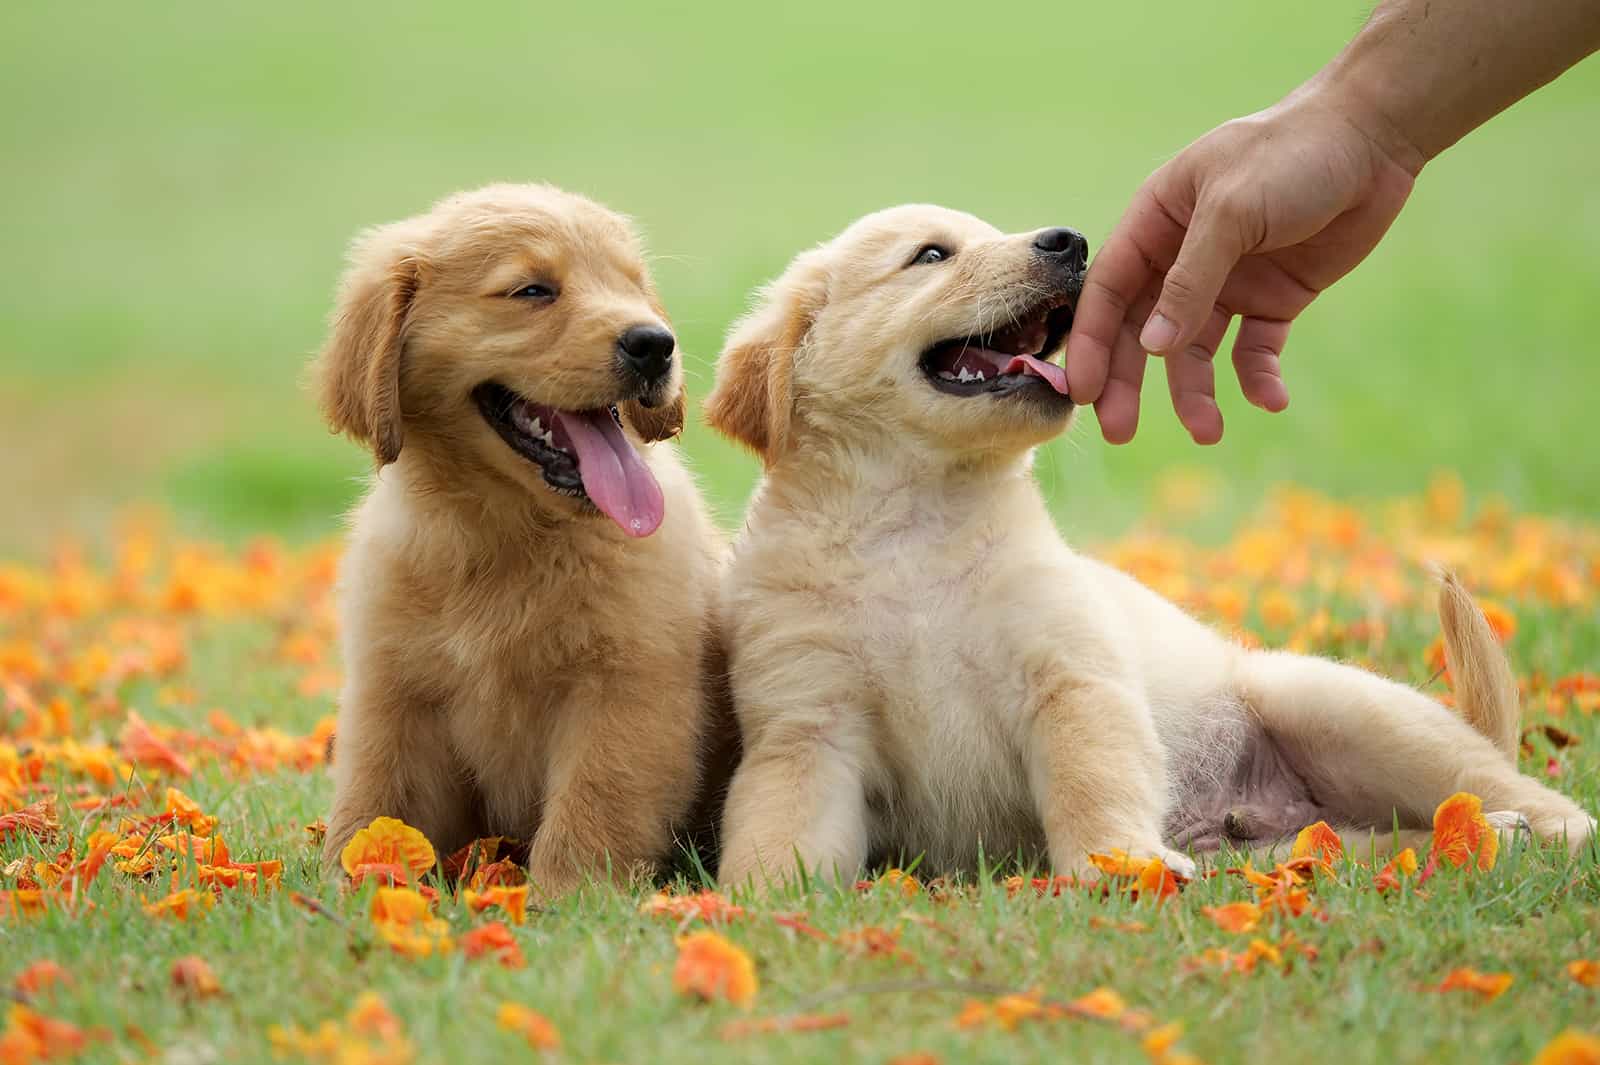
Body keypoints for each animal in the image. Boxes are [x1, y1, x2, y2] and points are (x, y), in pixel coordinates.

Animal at [312, 184, 726, 895]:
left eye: (633, 286)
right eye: (533, 291)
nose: (656, 343)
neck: (506, 533)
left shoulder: (626, 691)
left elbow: (594, 805)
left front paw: (571, 899)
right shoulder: (393, 694)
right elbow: (375, 802)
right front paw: (355, 887)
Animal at [707, 203, 1593, 882]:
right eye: (930, 255)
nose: (1070, 241)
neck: (912, 522)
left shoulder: (1074, 680)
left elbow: (1092, 783)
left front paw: (1120, 863)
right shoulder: (806, 725)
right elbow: (778, 829)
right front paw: (756, 902)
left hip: (1344, 711)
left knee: (1513, 789)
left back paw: (1525, 830)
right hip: (1298, 838)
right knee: (1375, 839)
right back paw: (1473, 838)